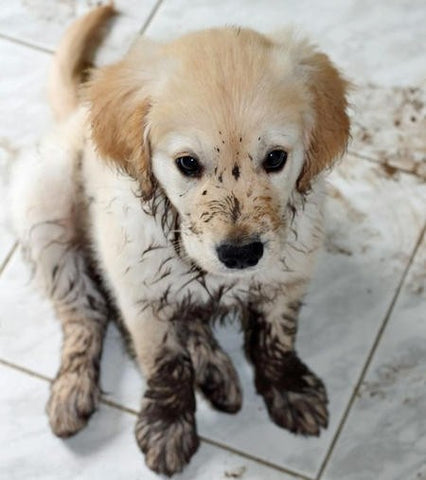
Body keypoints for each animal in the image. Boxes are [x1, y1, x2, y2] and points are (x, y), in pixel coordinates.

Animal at [10, 3, 350, 476]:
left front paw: (290, 389)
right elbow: (164, 363)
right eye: (187, 163)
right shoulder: (140, 293)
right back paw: (72, 391)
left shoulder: (289, 273)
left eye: (276, 158)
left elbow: (276, 338)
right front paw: (167, 426)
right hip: (45, 207)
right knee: (84, 313)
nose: (240, 254)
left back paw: (216, 370)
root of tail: (77, 113)